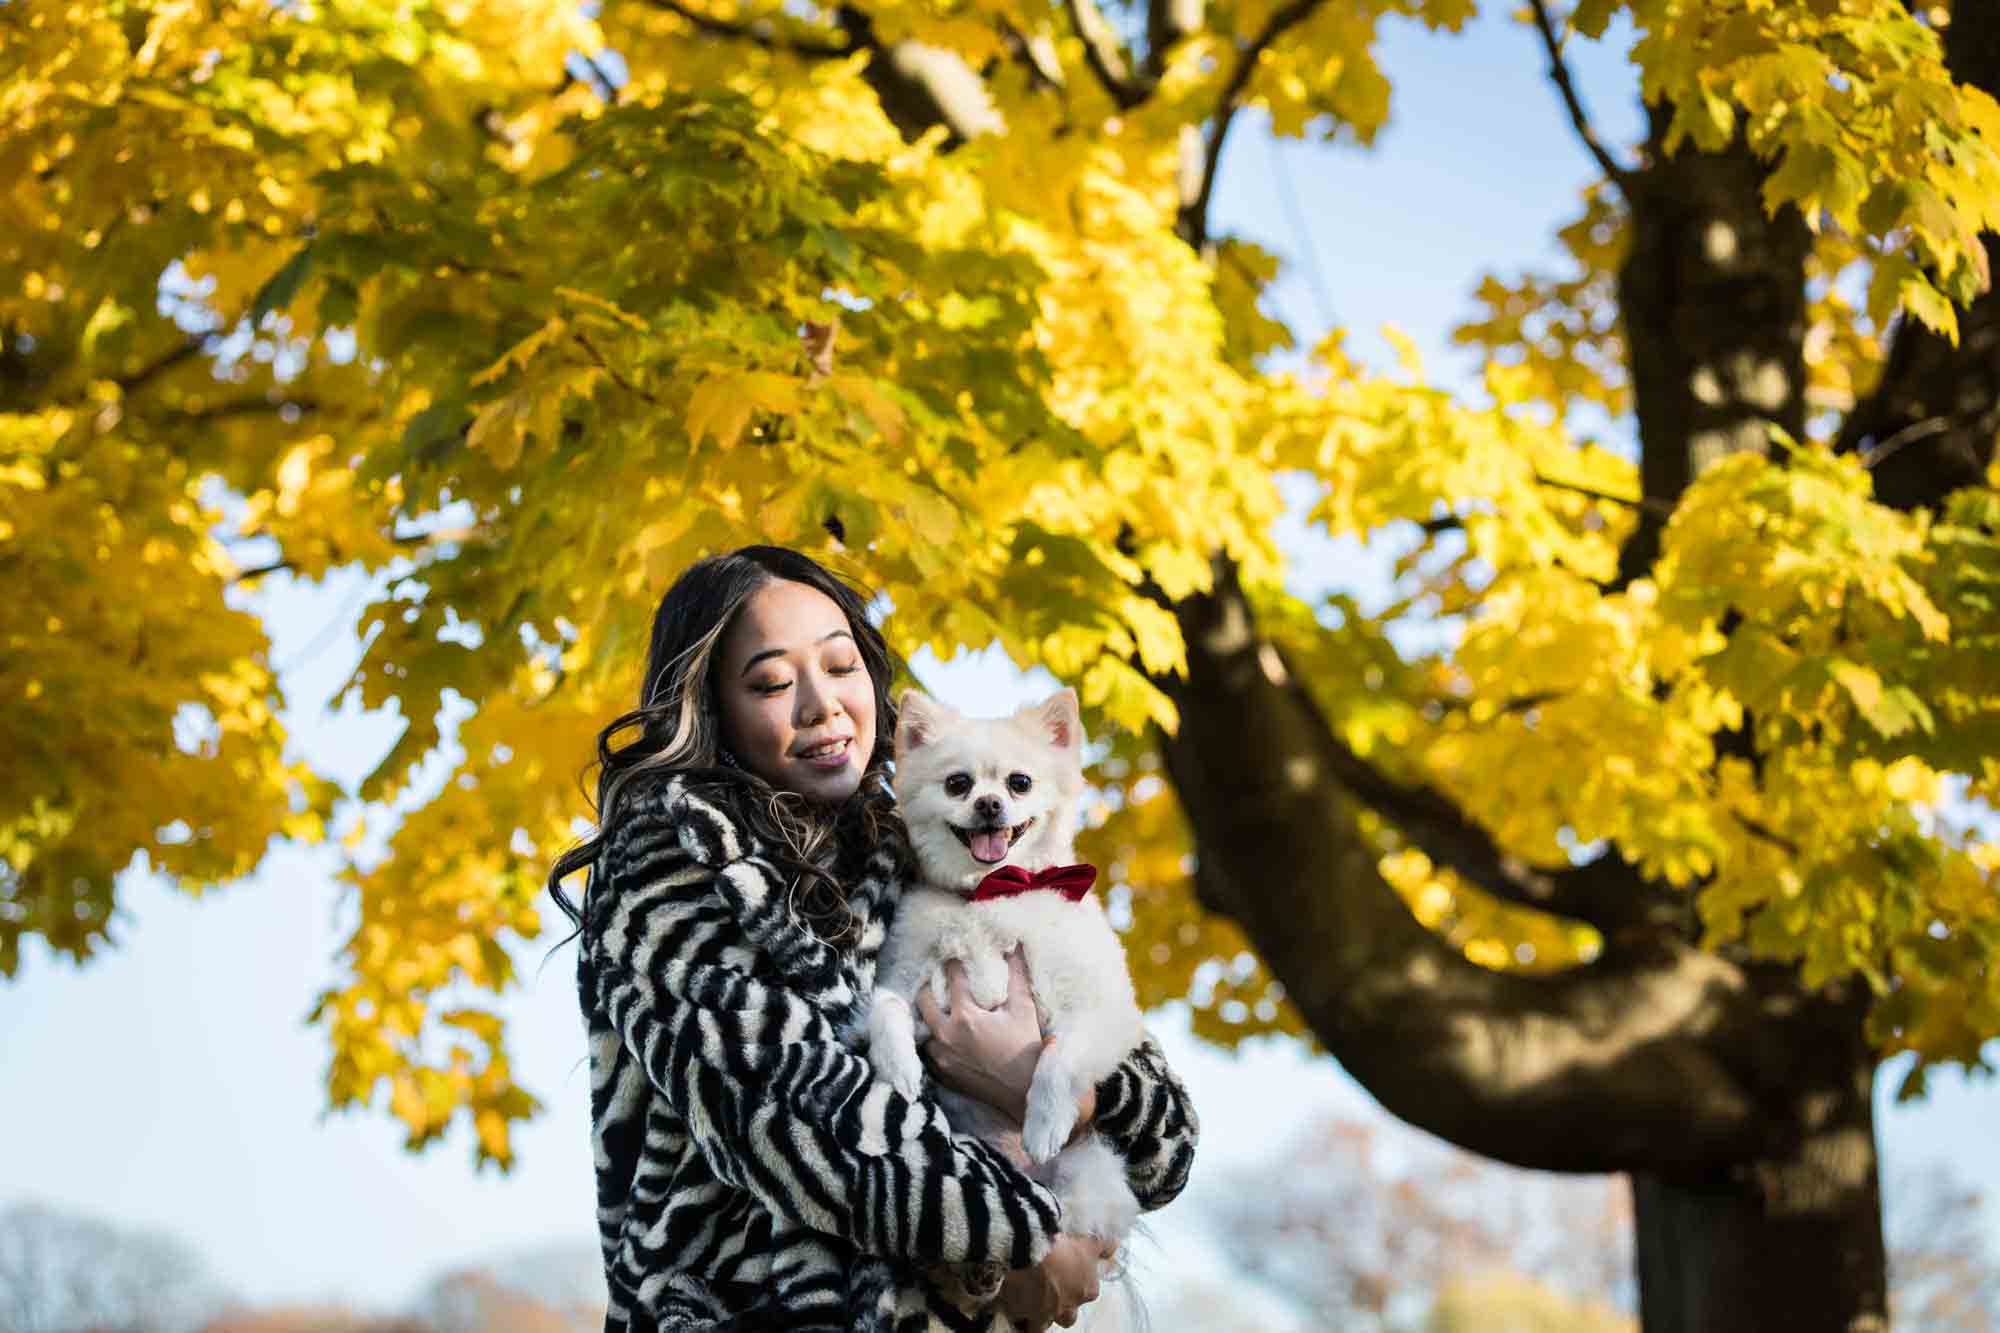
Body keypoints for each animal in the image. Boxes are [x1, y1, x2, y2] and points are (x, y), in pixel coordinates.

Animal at [872, 688, 1144, 1248]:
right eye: (958, 783)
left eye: (1020, 782)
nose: (989, 803)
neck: (991, 891)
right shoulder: (911, 985)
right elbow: (883, 1006)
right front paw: (901, 1067)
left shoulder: (1105, 1012)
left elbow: (1059, 1057)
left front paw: (1043, 1124)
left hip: (1091, 1172)